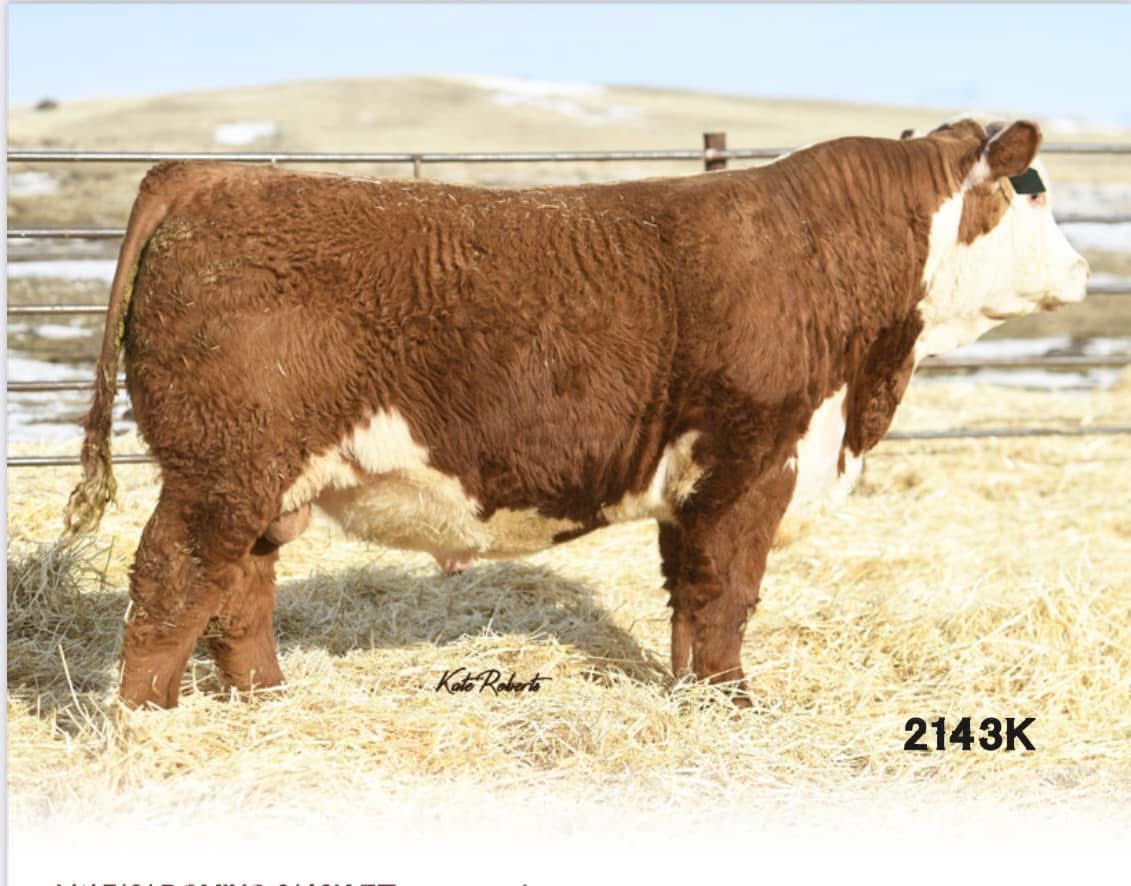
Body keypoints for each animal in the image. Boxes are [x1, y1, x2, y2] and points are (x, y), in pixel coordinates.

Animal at [63, 119, 1088, 710]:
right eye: (1032, 190)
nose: (1082, 270)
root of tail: (210, 176)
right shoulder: (752, 458)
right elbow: (728, 591)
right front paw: (733, 700)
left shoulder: (694, 480)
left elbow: (687, 592)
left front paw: (691, 691)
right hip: (219, 466)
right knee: (174, 577)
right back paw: (145, 725)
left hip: (260, 475)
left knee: (238, 585)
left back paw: (265, 704)